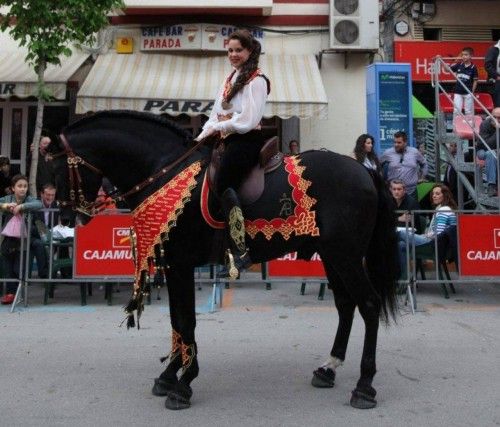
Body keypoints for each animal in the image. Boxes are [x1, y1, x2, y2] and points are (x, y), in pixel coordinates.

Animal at [47, 110, 398, 412]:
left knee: (368, 304)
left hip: (346, 253)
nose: (65, 215)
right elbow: (177, 320)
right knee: (345, 304)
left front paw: (183, 383)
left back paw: (365, 386)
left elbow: (186, 321)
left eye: (57, 168)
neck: (165, 172)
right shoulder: (174, 265)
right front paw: (170, 374)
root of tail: (365, 170)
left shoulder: (181, 264)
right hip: (331, 254)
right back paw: (329, 368)